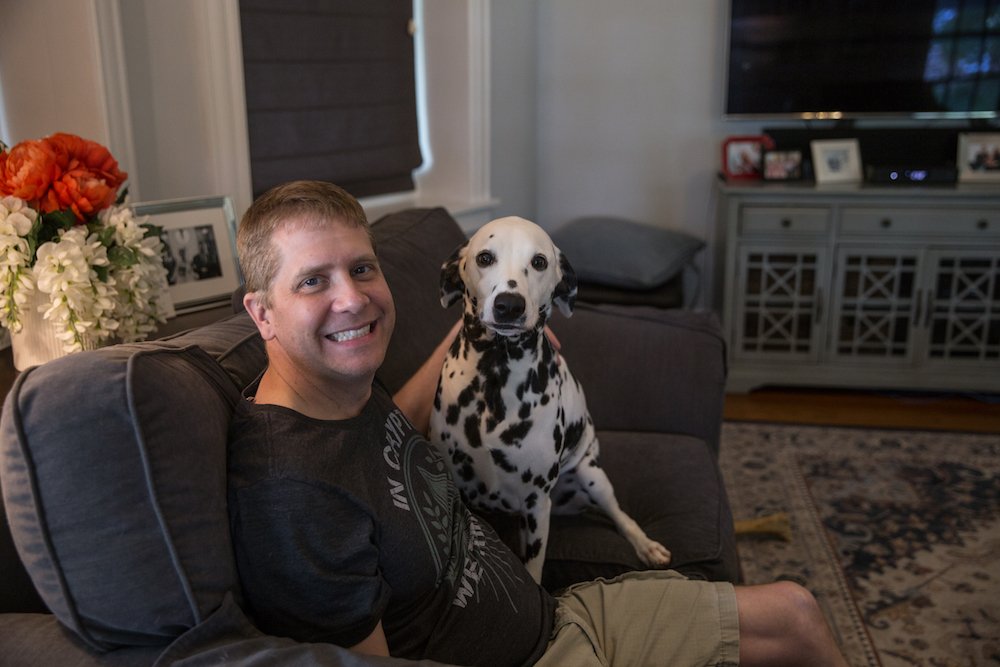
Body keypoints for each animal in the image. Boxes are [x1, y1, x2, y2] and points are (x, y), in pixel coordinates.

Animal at [426, 217, 668, 580]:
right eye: (485, 258)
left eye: (539, 261)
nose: (509, 305)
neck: (495, 378)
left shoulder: (536, 506)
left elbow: (534, 568)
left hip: (592, 475)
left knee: (620, 514)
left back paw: (645, 544)